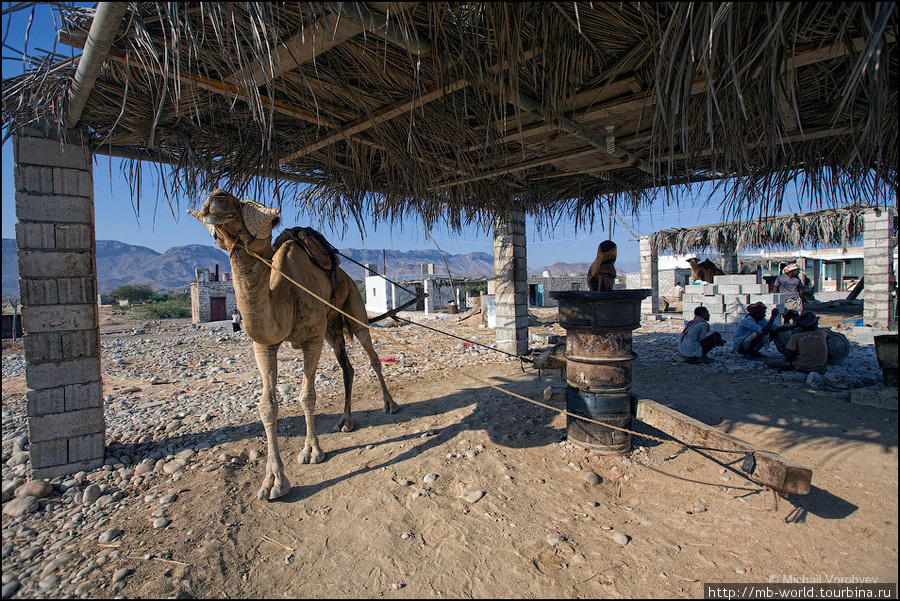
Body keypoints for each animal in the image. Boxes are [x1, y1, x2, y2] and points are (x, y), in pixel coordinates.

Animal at [189, 190, 398, 500]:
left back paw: (390, 404)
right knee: (347, 368)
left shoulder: (312, 339)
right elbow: (267, 406)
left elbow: (307, 396)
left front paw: (312, 451)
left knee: (371, 356)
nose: (217, 196)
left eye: (245, 204)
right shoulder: (265, 345)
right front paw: (273, 482)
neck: (284, 291)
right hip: (331, 329)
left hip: (354, 309)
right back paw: (345, 421)